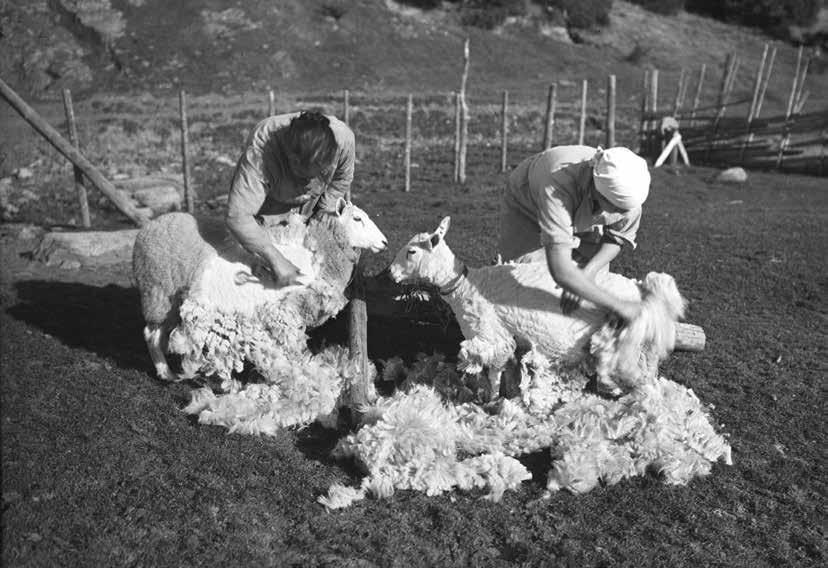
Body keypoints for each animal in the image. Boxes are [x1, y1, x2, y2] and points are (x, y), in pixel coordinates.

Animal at [133, 199, 388, 382]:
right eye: (357, 218)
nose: (385, 243)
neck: (316, 253)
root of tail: (148, 228)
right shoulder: (283, 315)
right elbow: (287, 349)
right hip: (157, 293)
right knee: (150, 334)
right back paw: (165, 373)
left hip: (174, 301)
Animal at [392, 217, 688, 400]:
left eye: (412, 252)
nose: (391, 273)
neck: (465, 286)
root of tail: (643, 290)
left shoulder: (491, 335)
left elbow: (493, 371)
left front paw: (490, 398)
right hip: (642, 350)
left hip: (629, 347)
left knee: (643, 383)